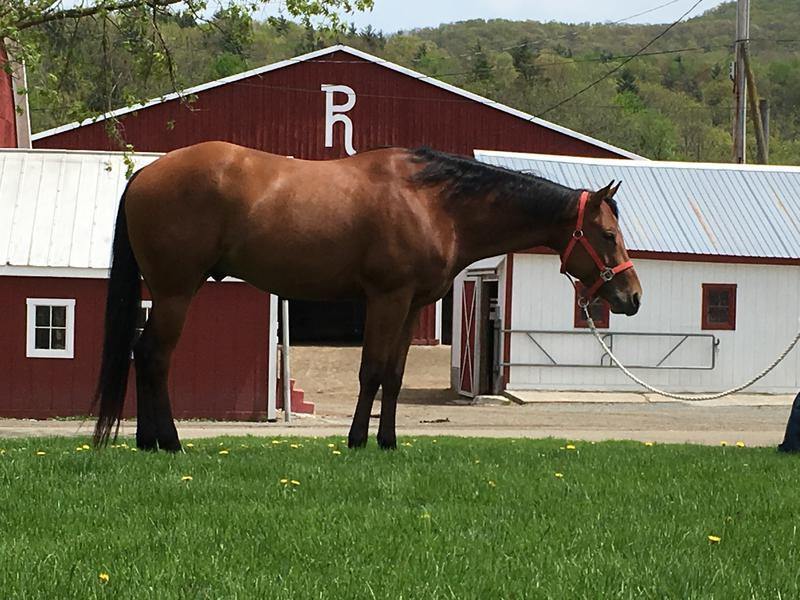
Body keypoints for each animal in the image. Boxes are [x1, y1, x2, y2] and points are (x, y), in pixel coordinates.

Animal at [92, 142, 642, 451]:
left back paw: (147, 442)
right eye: (607, 235)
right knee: (155, 356)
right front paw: (357, 441)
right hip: (175, 291)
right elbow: (372, 371)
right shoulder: (386, 299)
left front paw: (388, 441)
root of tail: (144, 174)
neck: (434, 203)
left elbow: (394, 378)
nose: (632, 296)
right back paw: (169, 443)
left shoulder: (411, 305)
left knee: (142, 353)